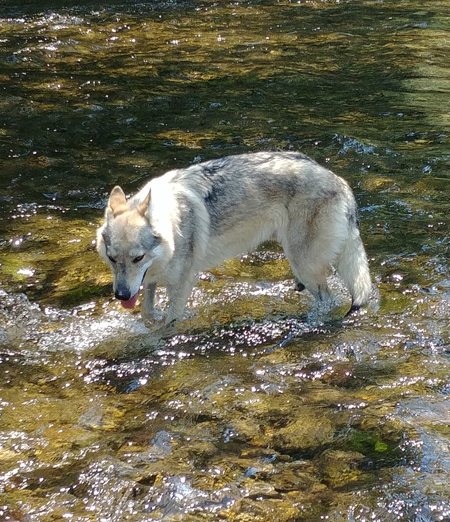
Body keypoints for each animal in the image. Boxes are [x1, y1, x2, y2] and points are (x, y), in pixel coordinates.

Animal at [96, 150, 370, 320]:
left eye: (138, 258)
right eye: (112, 258)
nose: (121, 296)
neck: (174, 222)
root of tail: (341, 182)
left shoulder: (182, 285)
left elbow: (167, 325)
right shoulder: (151, 280)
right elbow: (147, 311)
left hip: (304, 266)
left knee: (331, 301)